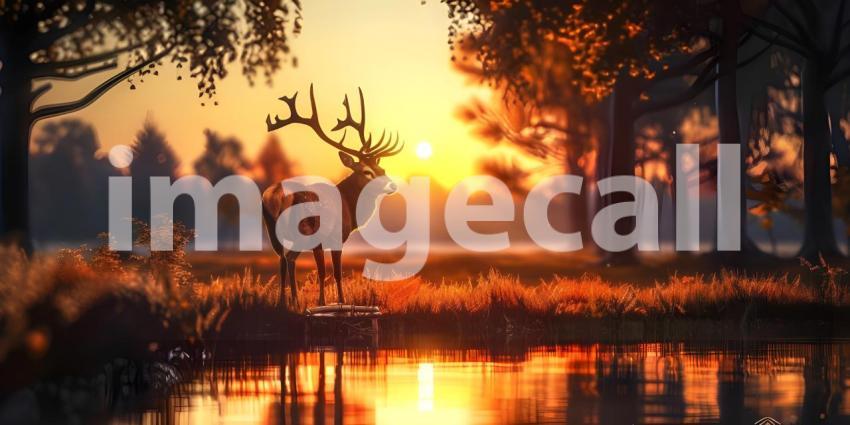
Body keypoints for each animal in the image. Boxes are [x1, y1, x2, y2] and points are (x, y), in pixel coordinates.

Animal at [263, 85, 403, 307]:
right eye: (366, 172)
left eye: (381, 168)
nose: (392, 185)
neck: (349, 207)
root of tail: (275, 196)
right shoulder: (335, 237)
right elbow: (333, 273)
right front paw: (336, 302)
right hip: (307, 230)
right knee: (295, 261)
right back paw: (298, 302)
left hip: (276, 232)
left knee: (284, 259)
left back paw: (285, 302)